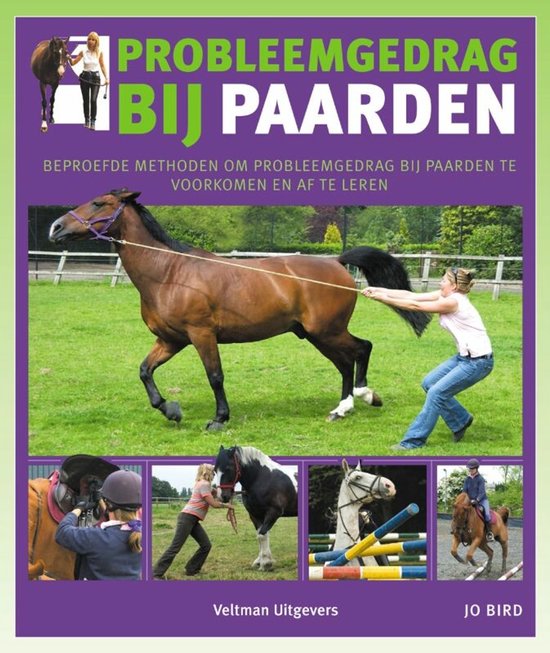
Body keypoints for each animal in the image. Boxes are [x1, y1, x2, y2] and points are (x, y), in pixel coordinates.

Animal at [49, 190, 431, 430]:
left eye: (98, 202)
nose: (55, 227)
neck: (169, 272)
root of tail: (336, 262)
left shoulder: (201, 334)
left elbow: (215, 376)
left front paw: (219, 419)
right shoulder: (171, 340)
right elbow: (145, 371)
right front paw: (171, 410)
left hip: (327, 330)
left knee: (361, 349)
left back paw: (362, 397)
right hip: (315, 334)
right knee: (345, 362)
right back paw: (342, 408)